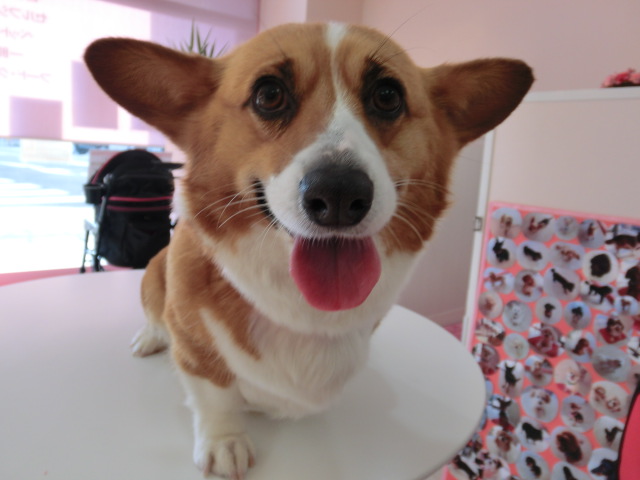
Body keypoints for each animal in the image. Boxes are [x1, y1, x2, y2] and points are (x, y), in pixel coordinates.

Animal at [84, 23, 532, 478]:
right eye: (269, 94)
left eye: (387, 95)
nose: (339, 194)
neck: (301, 306)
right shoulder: (194, 346)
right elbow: (214, 393)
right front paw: (225, 442)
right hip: (154, 273)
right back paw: (149, 337)